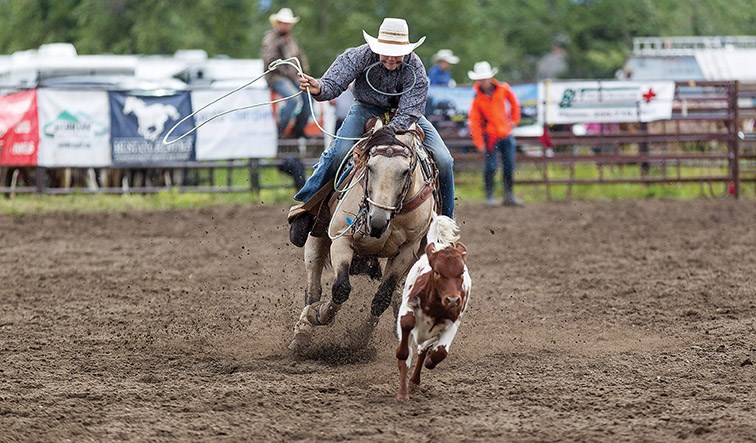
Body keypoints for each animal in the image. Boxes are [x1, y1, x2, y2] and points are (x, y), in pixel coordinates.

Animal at [292, 119, 440, 352]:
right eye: (370, 166)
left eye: (405, 171)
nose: (377, 221)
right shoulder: (341, 240)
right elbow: (341, 288)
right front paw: (320, 315)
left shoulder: (407, 251)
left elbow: (382, 297)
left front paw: (361, 338)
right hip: (316, 239)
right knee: (313, 289)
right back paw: (303, 331)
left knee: (397, 293)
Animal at [398, 215, 470, 402]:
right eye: (437, 272)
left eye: (461, 272)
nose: (452, 300)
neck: (435, 307)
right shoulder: (407, 306)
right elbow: (406, 324)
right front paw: (401, 352)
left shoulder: (452, 323)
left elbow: (441, 351)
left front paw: (431, 361)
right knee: (408, 358)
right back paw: (403, 393)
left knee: (423, 349)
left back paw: (414, 381)